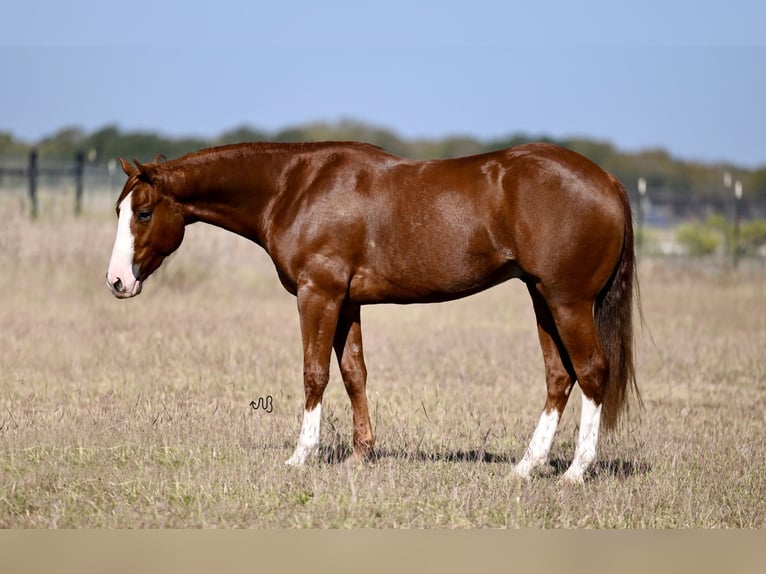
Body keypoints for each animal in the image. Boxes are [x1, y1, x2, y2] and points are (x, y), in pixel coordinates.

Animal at [105, 142, 640, 484]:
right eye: (119, 210)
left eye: (144, 212)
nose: (117, 282)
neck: (294, 186)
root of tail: (609, 181)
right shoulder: (347, 302)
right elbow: (353, 374)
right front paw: (360, 456)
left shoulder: (317, 295)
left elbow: (315, 374)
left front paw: (301, 456)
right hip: (541, 298)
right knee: (559, 377)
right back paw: (527, 467)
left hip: (567, 302)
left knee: (592, 371)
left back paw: (575, 472)